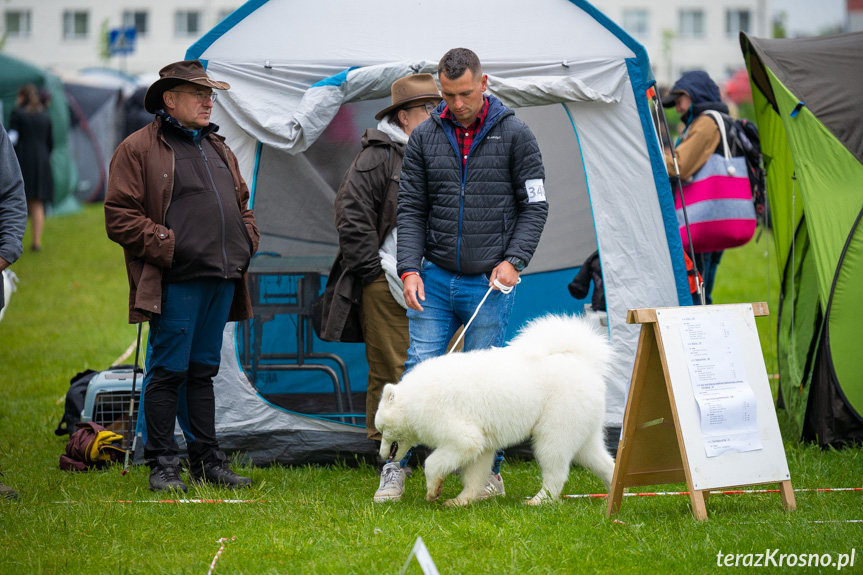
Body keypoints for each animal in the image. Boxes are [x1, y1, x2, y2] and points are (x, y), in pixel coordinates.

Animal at [376, 316, 616, 508]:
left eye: (381, 429)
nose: (381, 455)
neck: (413, 400)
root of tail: (583, 363)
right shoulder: (482, 444)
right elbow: (473, 475)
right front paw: (461, 500)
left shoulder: (463, 436)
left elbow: (433, 463)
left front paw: (434, 490)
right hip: (583, 433)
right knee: (604, 462)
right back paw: (612, 494)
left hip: (553, 432)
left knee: (556, 471)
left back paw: (539, 500)